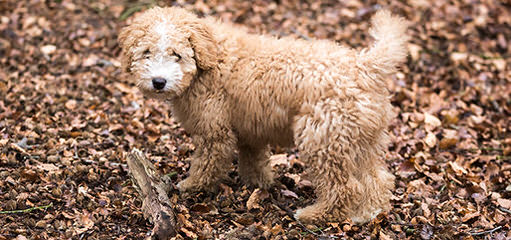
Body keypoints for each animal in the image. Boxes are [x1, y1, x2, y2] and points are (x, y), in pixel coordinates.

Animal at [119, 7, 408, 225]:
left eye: (176, 55)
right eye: (146, 53)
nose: (158, 81)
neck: (210, 57)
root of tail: (365, 65)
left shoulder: (214, 131)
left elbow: (207, 162)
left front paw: (193, 185)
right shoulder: (249, 128)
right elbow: (253, 157)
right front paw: (259, 183)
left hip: (323, 138)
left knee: (344, 187)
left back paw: (314, 215)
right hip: (359, 140)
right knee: (377, 179)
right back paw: (368, 213)